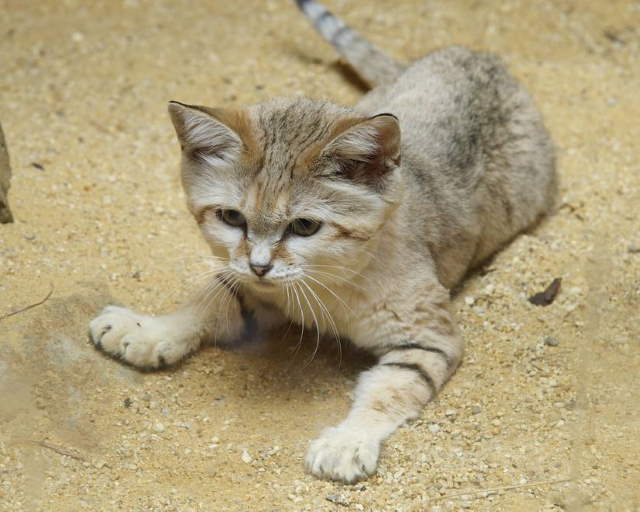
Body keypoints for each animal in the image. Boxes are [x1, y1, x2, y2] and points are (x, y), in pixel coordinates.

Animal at [89, 0, 556, 484]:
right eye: (231, 218)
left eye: (305, 227)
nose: (260, 265)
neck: (325, 286)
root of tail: (479, 56)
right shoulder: (249, 284)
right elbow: (209, 299)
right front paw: (148, 329)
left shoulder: (428, 338)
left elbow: (388, 389)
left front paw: (348, 440)